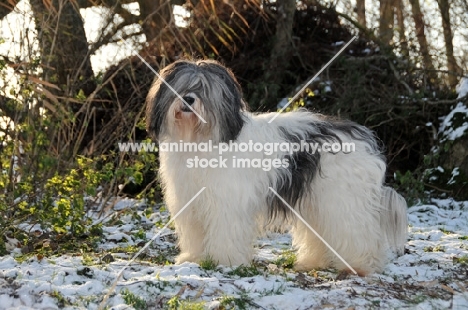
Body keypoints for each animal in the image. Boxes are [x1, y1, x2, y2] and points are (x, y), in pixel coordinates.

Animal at [146, 58, 406, 276]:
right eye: (181, 87)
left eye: (204, 88)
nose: (188, 99)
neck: (199, 140)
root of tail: (364, 139)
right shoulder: (191, 201)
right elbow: (195, 233)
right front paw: (194, 258)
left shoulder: (226, 202)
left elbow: (225, 231)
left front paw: (224, 261)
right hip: (317, 200)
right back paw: (313, 262)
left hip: (342, 199)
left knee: (358, 231)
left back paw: (360, 265)